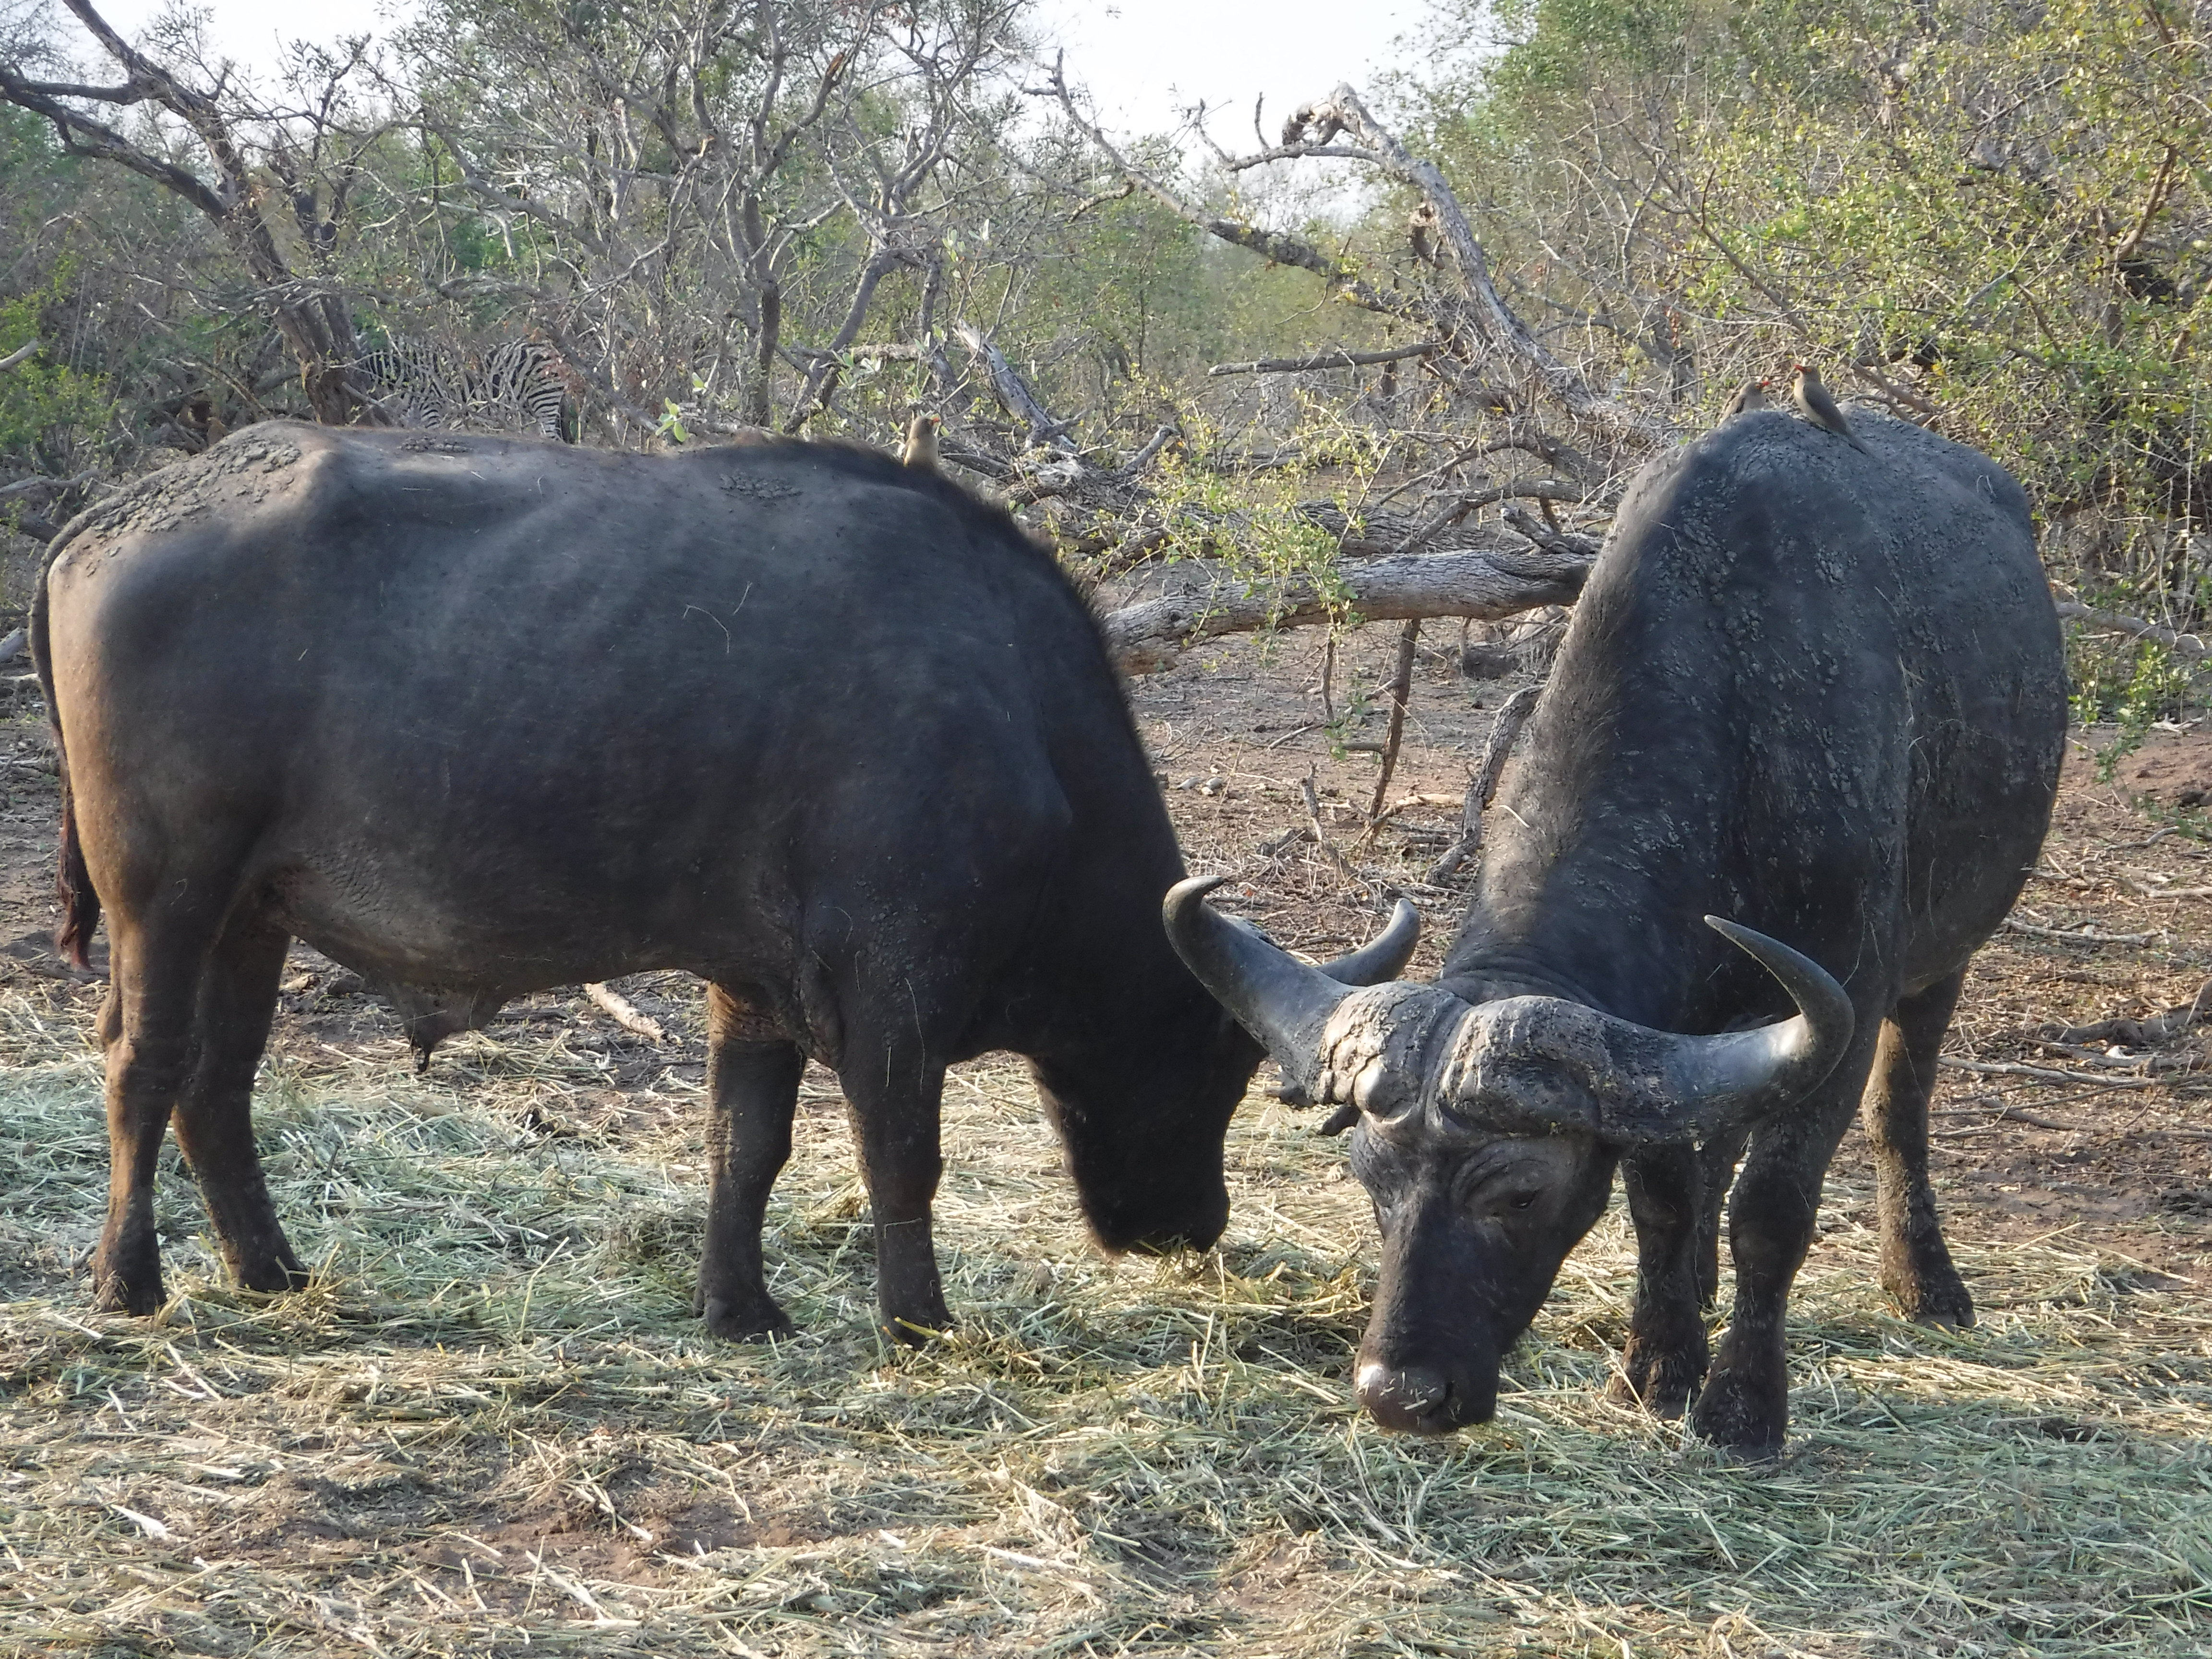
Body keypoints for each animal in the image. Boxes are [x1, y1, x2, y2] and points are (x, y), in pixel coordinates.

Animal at [33, 422, 1418, 1340]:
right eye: (1212, 1065)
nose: (1193, 1224)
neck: (1014, 719)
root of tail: (103, 522)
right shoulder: (895, 997)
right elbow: (900, 1159)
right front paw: (918, 1321)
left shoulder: (751, 985)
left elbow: (742, 1145)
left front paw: (737, 1303)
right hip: (169, 899)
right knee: (143, 1066)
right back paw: (127, 1280)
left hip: (252, 915)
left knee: (218, 1084)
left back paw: (269, 1268)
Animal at [1166, 409, 2066, 1452]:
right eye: (1369, 1176)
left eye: (1518, 1192)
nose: (1399, 1393)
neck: (1737, 716)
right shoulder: (1664, 1039)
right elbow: (1663, 1200)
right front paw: (1656, 1364)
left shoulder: (1847, 994)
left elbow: (1774, 1206)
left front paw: (1742, 1405)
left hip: (1942, 960)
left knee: (1900, 1111)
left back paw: (1924, 1281)